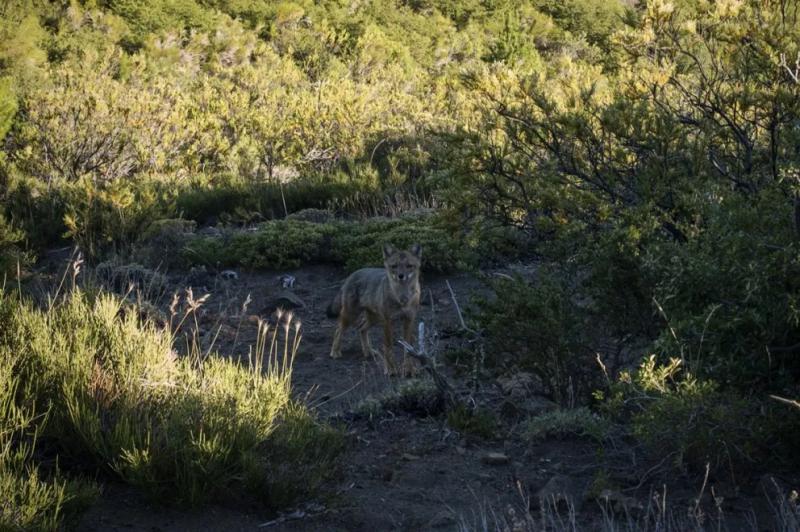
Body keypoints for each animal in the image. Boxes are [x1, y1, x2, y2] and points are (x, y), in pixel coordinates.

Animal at [326, 243, 422, 376]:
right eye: (394, 266)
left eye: (409, 266)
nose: (401, 276)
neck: (402, 298)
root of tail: (353, 274)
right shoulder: (388, 321)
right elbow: (388, 347)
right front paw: (390, 369)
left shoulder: (409, 320)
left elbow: (409, 348)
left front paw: (409, 369)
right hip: (351, 316)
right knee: (338, 330)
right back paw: (335, 352)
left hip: (375, 319)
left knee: (361, 328)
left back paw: (368, 352)